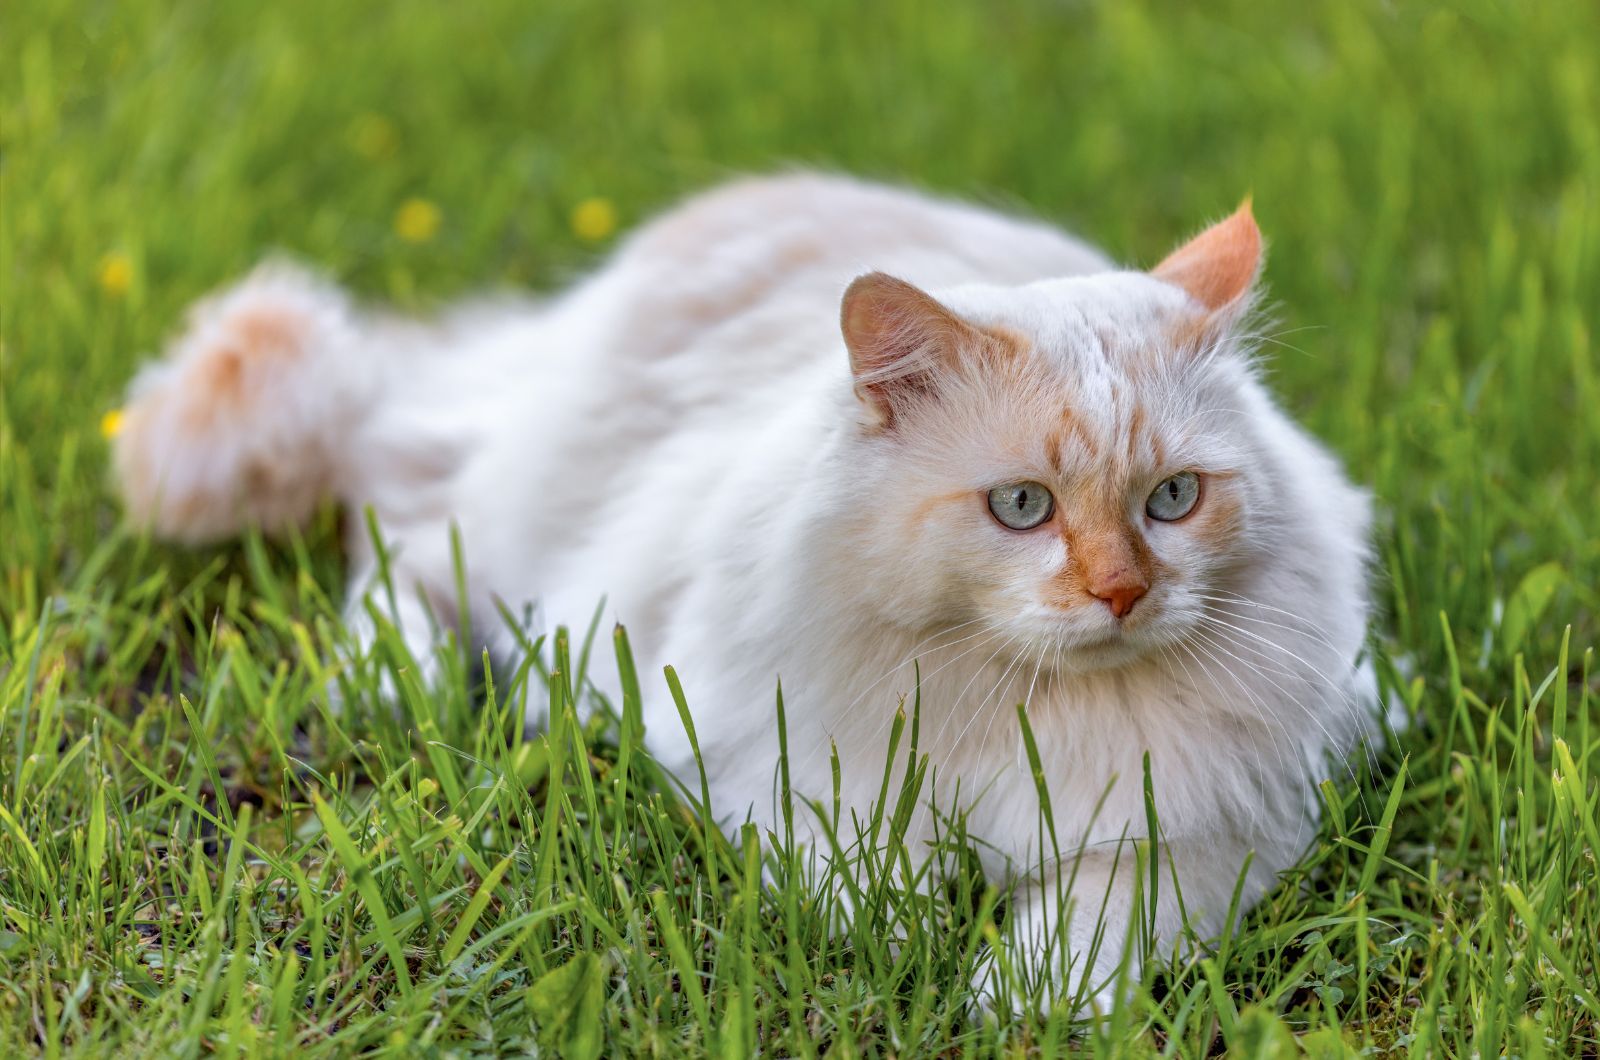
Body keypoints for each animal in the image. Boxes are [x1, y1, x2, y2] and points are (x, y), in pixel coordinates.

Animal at [112, 178, 1376, 1018]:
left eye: (1172, 499)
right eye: (1021, 506)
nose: (1120, 592)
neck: (1025, 704)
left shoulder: (1211, 832)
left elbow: (1088, 929)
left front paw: (1008, 996)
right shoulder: (776, 762)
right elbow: (867, 881)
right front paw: (912, 951)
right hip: (513, 531)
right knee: (397, 540)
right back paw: (393, 682)